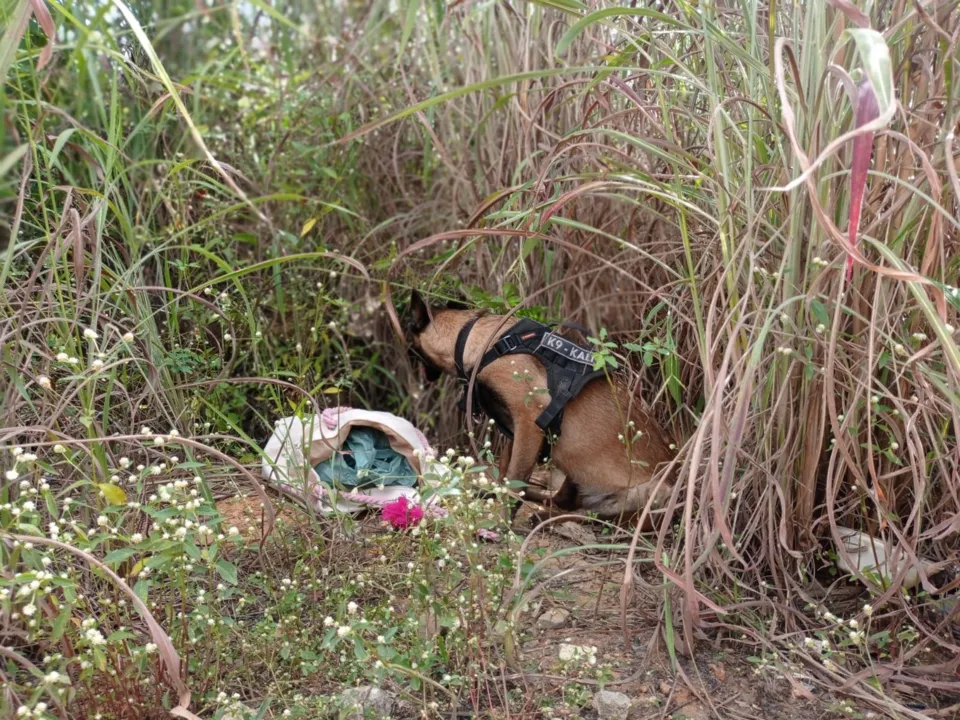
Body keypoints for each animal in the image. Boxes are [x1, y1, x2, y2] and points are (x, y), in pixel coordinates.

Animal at [406, 292, 676, 524]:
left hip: (642, 494)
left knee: (587, 514)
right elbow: (507, 476)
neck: (481, 341)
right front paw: (497, 496)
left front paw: (501, 523)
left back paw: (545, 518)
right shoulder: (515, 431)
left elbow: (515, 478)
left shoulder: (528, 424)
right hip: (573, 473)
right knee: (563, 499)